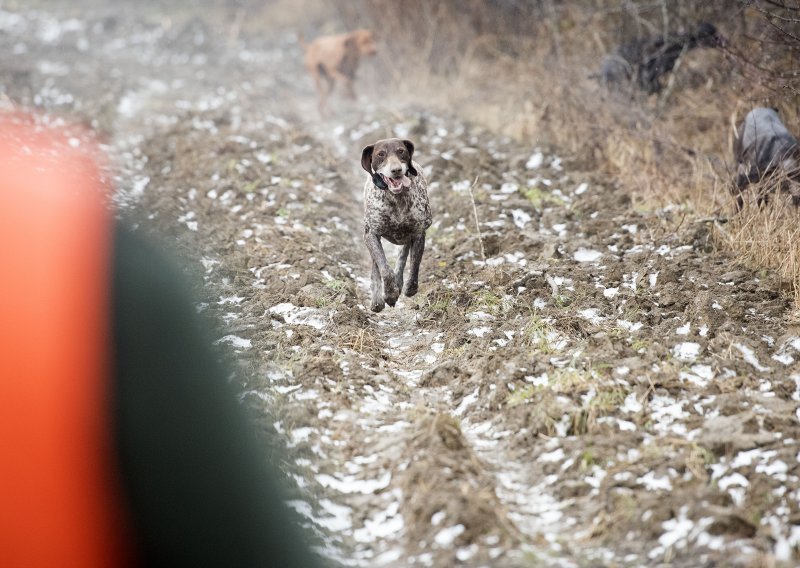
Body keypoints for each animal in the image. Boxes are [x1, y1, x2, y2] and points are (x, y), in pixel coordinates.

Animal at [362, 139, 432, 312]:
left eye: (401, 151)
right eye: (381, 154)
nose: (396, 170)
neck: (396, 198)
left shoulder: (418, 233)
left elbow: (414, 265)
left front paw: (409, 288)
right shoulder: (371, 235)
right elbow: (384, 268)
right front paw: (390, 294)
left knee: (402, 255)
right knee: (377, 266)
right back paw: (377, 299)